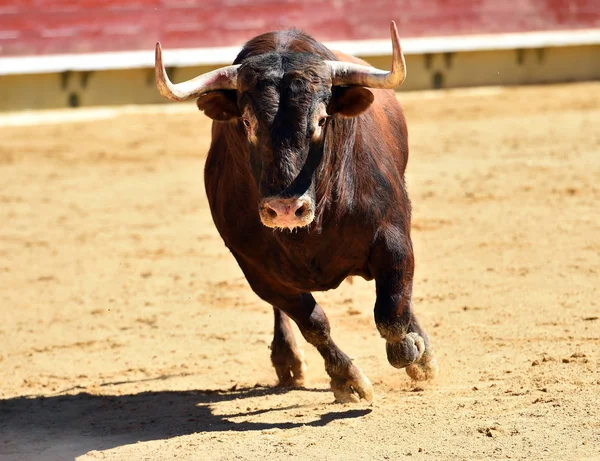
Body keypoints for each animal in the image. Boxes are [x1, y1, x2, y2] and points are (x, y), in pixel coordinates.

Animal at [155, 22, 436, 402]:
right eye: (247, 122)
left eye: (321, 120)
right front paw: (348, 380)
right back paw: (287, 360)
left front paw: (414, 352)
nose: (286, 209)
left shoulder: (393, 236)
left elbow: (391, 311)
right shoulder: (258, 270)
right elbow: (314, 323)